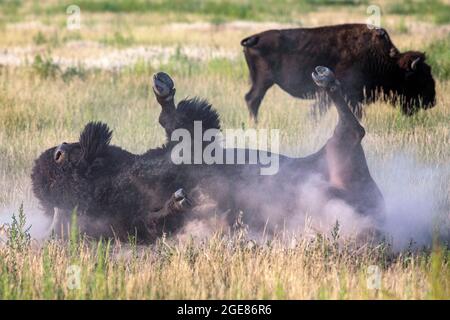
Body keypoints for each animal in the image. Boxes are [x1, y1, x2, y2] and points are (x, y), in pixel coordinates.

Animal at [30, 68, 384, 242]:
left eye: (58, 156)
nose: (61, 146)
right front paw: (181, 200)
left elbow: (178, 121)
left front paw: (163, 85)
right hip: (339, 153)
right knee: (353, 130)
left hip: (332, 152)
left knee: (353, 126)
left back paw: (324, 76)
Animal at [243, 22, 436, 120]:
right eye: (421, 78)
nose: (432, 101)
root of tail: (254, 38)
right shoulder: (340, 94)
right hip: (263, 81)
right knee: (253, 100)